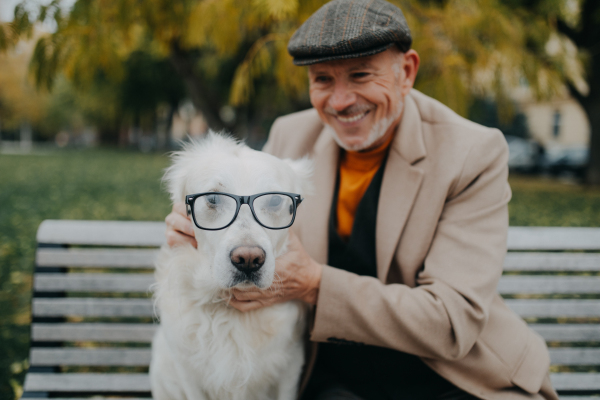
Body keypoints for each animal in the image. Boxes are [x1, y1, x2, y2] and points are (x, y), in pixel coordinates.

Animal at [150, 134, 312, 400]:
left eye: (275, 200)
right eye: (213, 198)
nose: (248, 259)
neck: (229, 315)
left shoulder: (289, 370)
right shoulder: (189, 375)